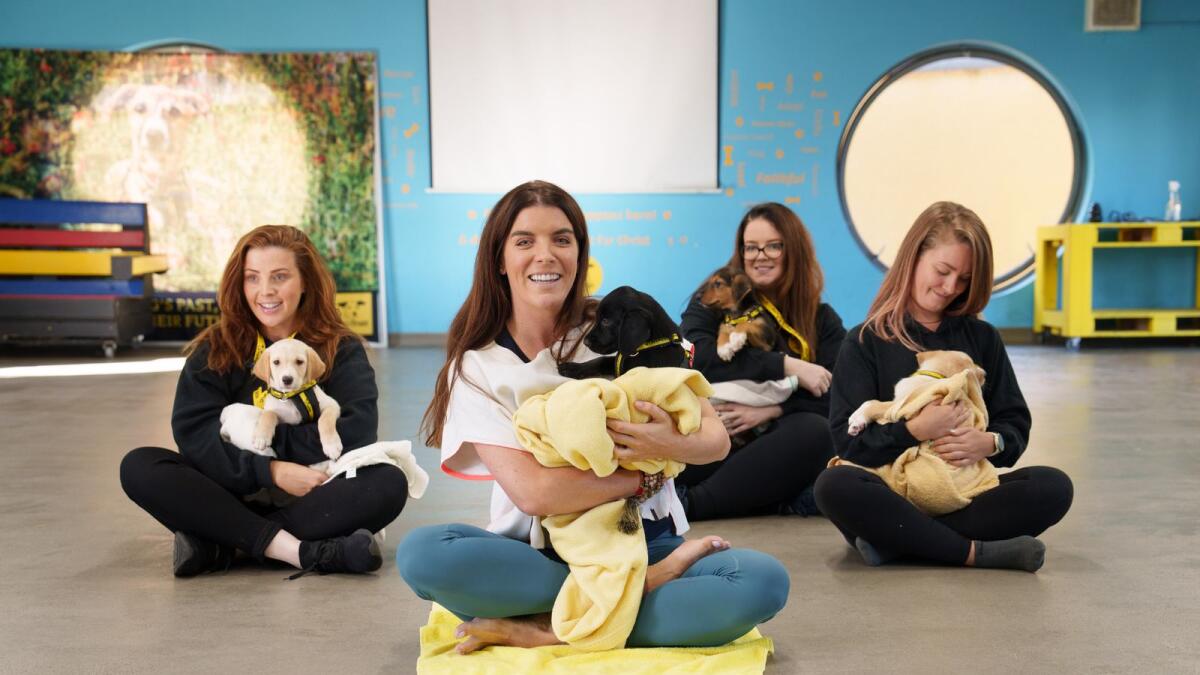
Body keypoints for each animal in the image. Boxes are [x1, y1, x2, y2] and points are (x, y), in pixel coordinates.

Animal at [844, 345, 984, 437]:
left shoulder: (901, 405)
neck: (937, 376)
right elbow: (870, 402)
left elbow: (873, 405)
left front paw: (857, 420)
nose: (984, 373)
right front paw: (856, 416)